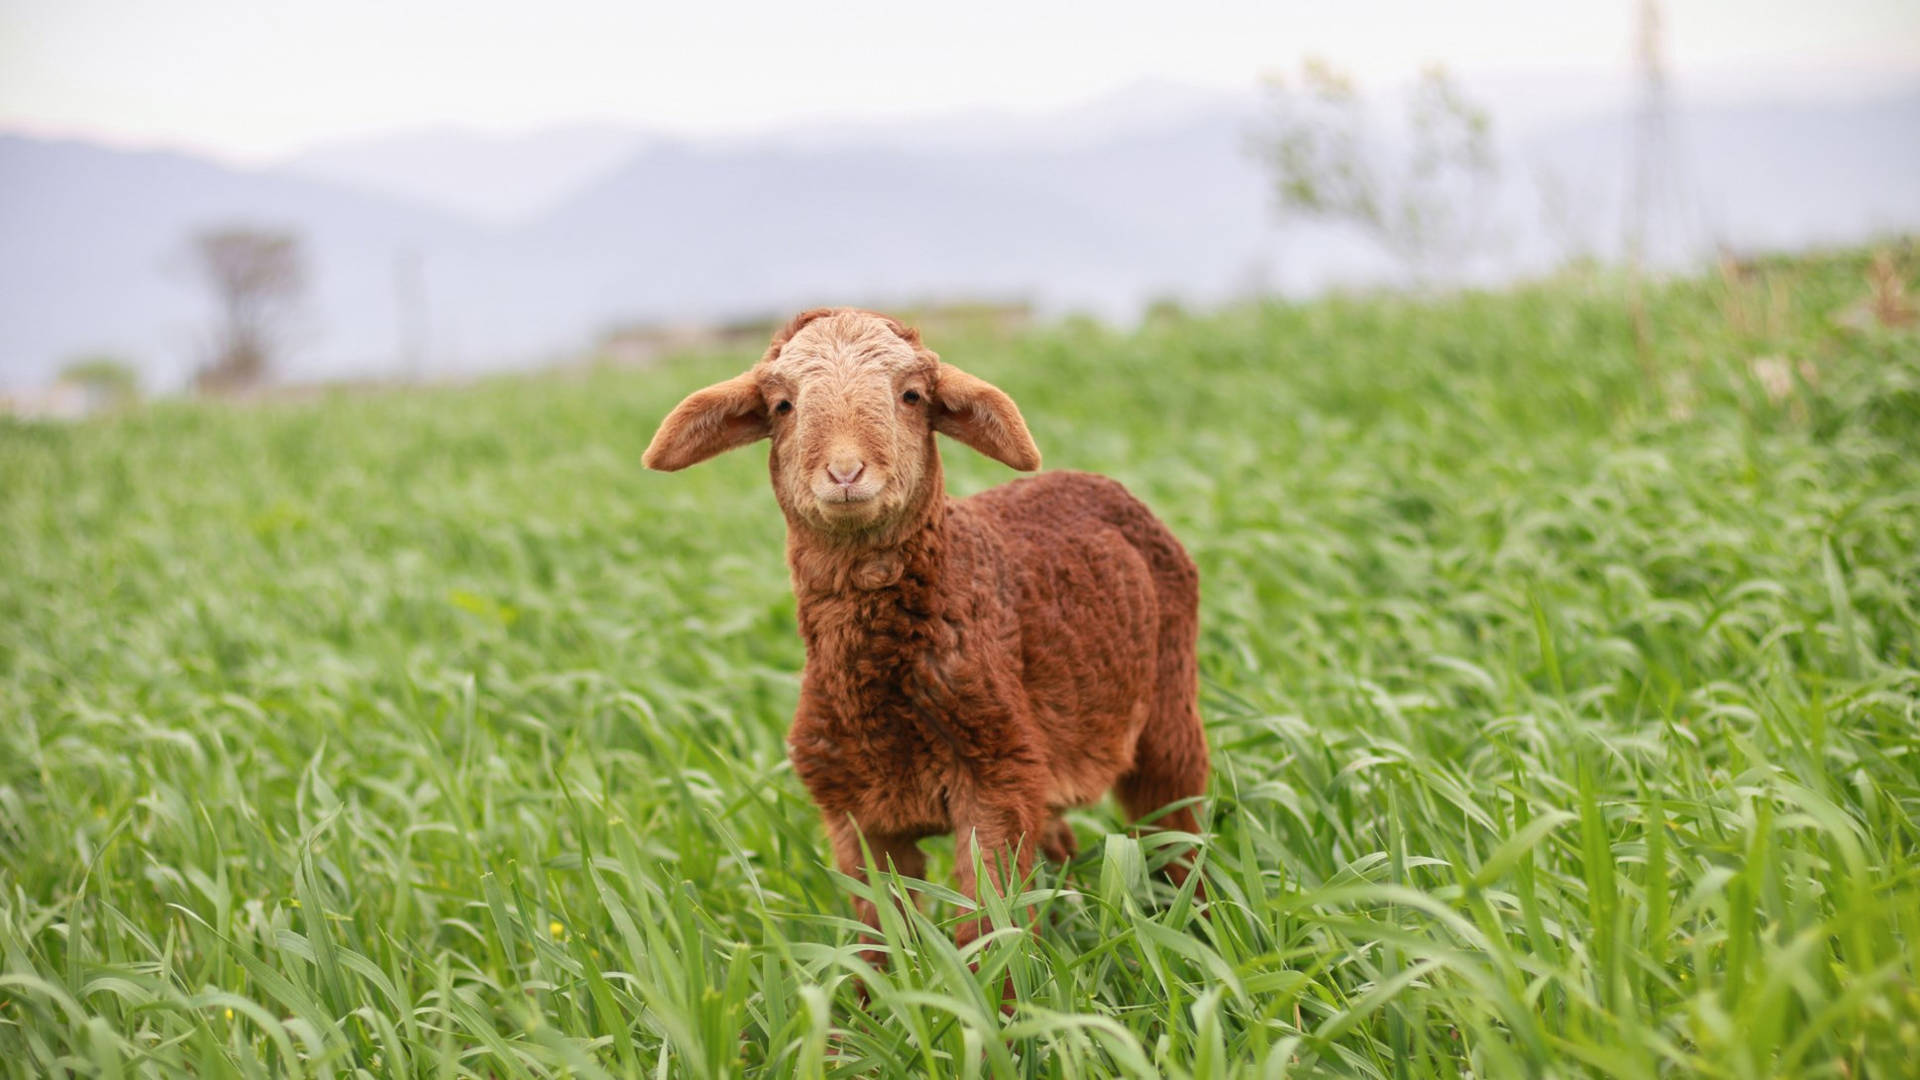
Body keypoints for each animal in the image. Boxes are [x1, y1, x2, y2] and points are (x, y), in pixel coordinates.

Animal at [645, 305, 1213, 949]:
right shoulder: (855, 812)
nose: (846, 472)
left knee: (1178, 836)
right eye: (783, 406)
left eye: (912, 395)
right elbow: (876, 942)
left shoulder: (996, 786)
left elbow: (989, 929)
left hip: (1169, 707)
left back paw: (1199, 925)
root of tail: (1092, 480)